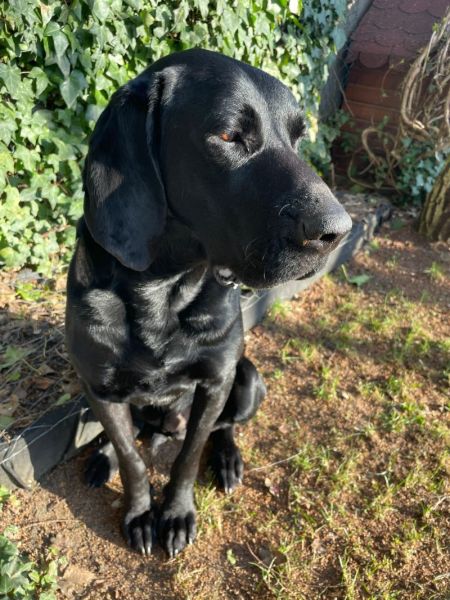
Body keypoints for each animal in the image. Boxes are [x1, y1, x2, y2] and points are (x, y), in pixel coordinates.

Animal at [66, 48, 352, 558]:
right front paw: (140, 512)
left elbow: (188, 455)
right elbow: (131, 456)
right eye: (227, 135)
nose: (338, 230)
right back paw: (104, 457)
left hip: (249, 378)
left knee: (222, 428)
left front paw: (176, 513)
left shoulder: (216, 381)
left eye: (299, 138)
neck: (161, 292)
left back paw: (229, 459)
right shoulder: (98, 386)